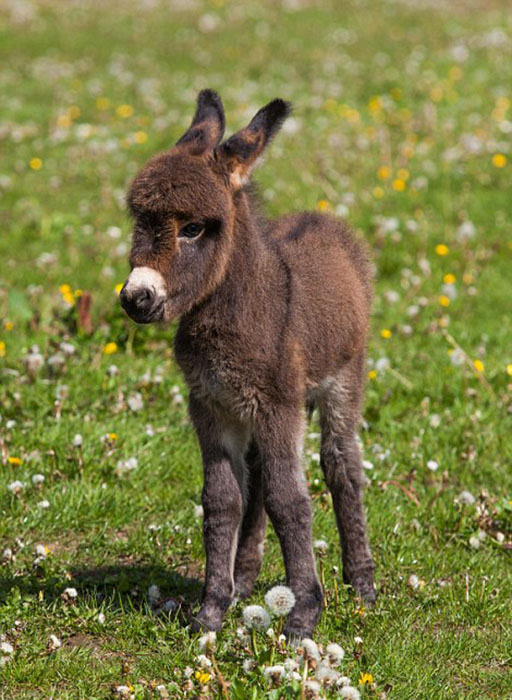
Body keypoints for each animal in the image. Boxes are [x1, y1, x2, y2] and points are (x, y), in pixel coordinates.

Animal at [120, 89, 376, 640]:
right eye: (140, 222)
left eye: (194, 228)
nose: (136, 298)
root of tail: (323, 218)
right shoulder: (210, 404)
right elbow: (222, 500)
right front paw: (212, 607)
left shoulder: (278, 405)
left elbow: (288, 500)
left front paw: (304, 615)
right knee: (257, 474)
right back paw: (245, 578)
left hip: (342, 380)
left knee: (342, 466)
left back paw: (362, 584)